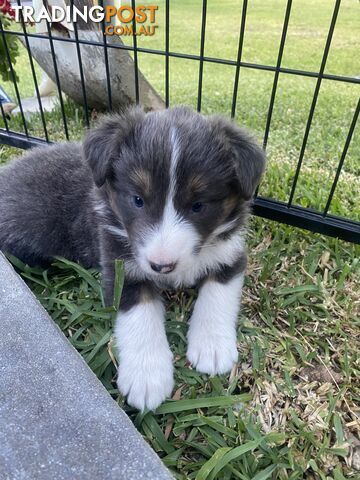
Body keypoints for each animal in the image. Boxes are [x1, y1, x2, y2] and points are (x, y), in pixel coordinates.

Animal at [0, 107, 264, 410]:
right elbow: (140, 316)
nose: (162, 266)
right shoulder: (120, 268)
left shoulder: (229, 255)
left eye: (199, 206)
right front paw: (147, 378)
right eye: (138, 200)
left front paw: (212, 346)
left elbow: (218, 296)